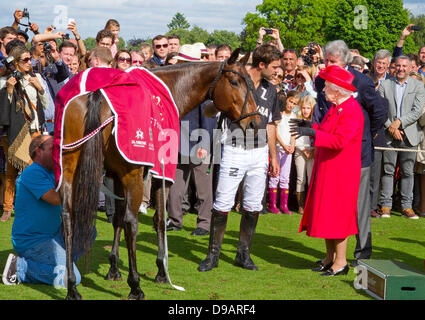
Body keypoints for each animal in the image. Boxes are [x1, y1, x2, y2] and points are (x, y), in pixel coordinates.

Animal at [59, 48, 258, 298]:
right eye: (234, 81)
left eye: (250, 82)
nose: (254, 123)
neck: (171, 88)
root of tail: (97, 95)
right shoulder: (161, 174)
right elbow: (160, 219)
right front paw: (161, 271)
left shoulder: (115, 176)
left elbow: (117, 219)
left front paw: (113, 268)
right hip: (132, 176)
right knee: (131, 222)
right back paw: (135, 285)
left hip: (70, 168)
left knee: (68, 216)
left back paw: (72, 286)